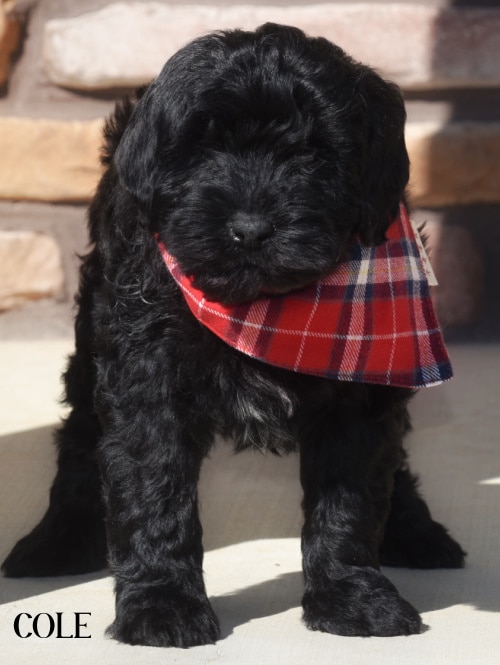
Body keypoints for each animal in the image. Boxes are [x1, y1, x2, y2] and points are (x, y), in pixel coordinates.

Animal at [3, 23, 464, 644]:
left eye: (312, 154)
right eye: (203, 150)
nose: (249, 229)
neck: (265, 307)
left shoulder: (361, 394)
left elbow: (350, 498)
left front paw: (353, 600)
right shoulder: (145, 373)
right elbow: (154, 488)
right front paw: (162, 607)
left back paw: (416, 531)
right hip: (92, 334)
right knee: (78, 437)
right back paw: (54, 542)